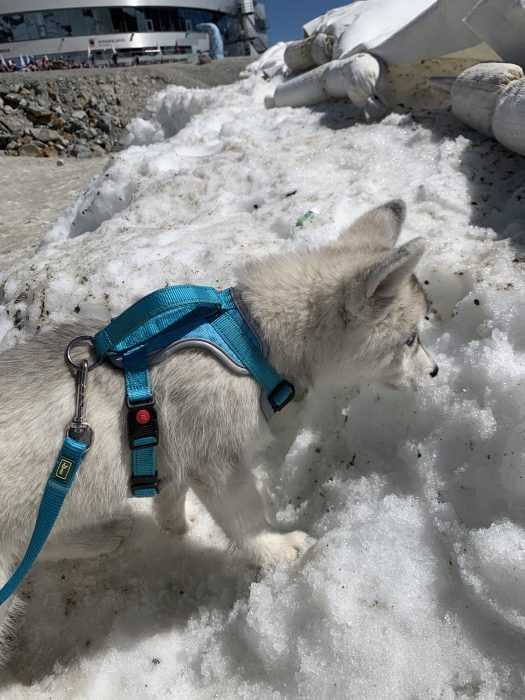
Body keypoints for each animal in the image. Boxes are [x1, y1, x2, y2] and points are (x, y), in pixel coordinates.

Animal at [0, 198, 436, 660]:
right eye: (410, 339)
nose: (435, 372)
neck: (249, 341)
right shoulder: (219, 464)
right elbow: (246, 520)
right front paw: (277, 548)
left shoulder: (173, 451)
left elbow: (171, 494)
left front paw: (174, 524)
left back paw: (100, 537)